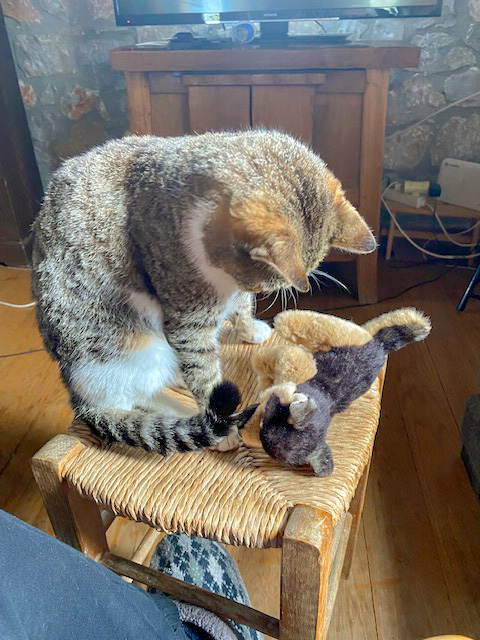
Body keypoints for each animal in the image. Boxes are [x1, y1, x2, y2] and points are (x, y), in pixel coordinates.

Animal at [32, 130, 376, 455]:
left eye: (259, 287)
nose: (250, 288)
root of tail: (78, 397)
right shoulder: (188, 321)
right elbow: (203, 371)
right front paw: (223, 424)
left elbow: (242, 308)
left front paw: (250, 328)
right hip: (133, 351)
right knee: (136, 400)